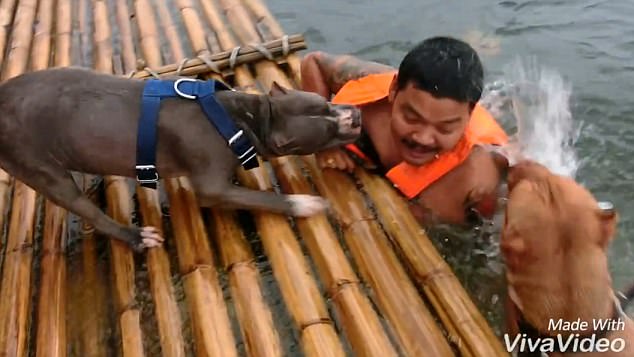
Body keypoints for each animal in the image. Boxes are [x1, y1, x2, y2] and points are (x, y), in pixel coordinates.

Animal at [0, 67, 360, 250]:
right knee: (86, 209)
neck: (246, 118)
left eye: (326, 103)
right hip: (35, 161)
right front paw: (305, 203)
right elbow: (262, 198)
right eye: (327, 131)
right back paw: (135, 237)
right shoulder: (213, 186)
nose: (355, 115)